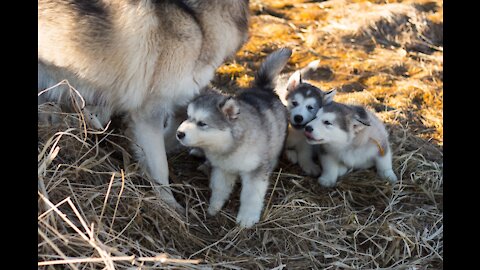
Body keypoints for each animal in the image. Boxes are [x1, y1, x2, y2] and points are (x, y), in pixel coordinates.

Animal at [175, 47, 288, 227]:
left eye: (202, 123)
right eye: (188, 117)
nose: (179, 133)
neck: (230, 147)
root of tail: (263, 89)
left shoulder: (255, 171)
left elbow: (251, 196)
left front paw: (247, 218)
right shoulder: (223, 169)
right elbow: (219, 188)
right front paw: (214, 208)